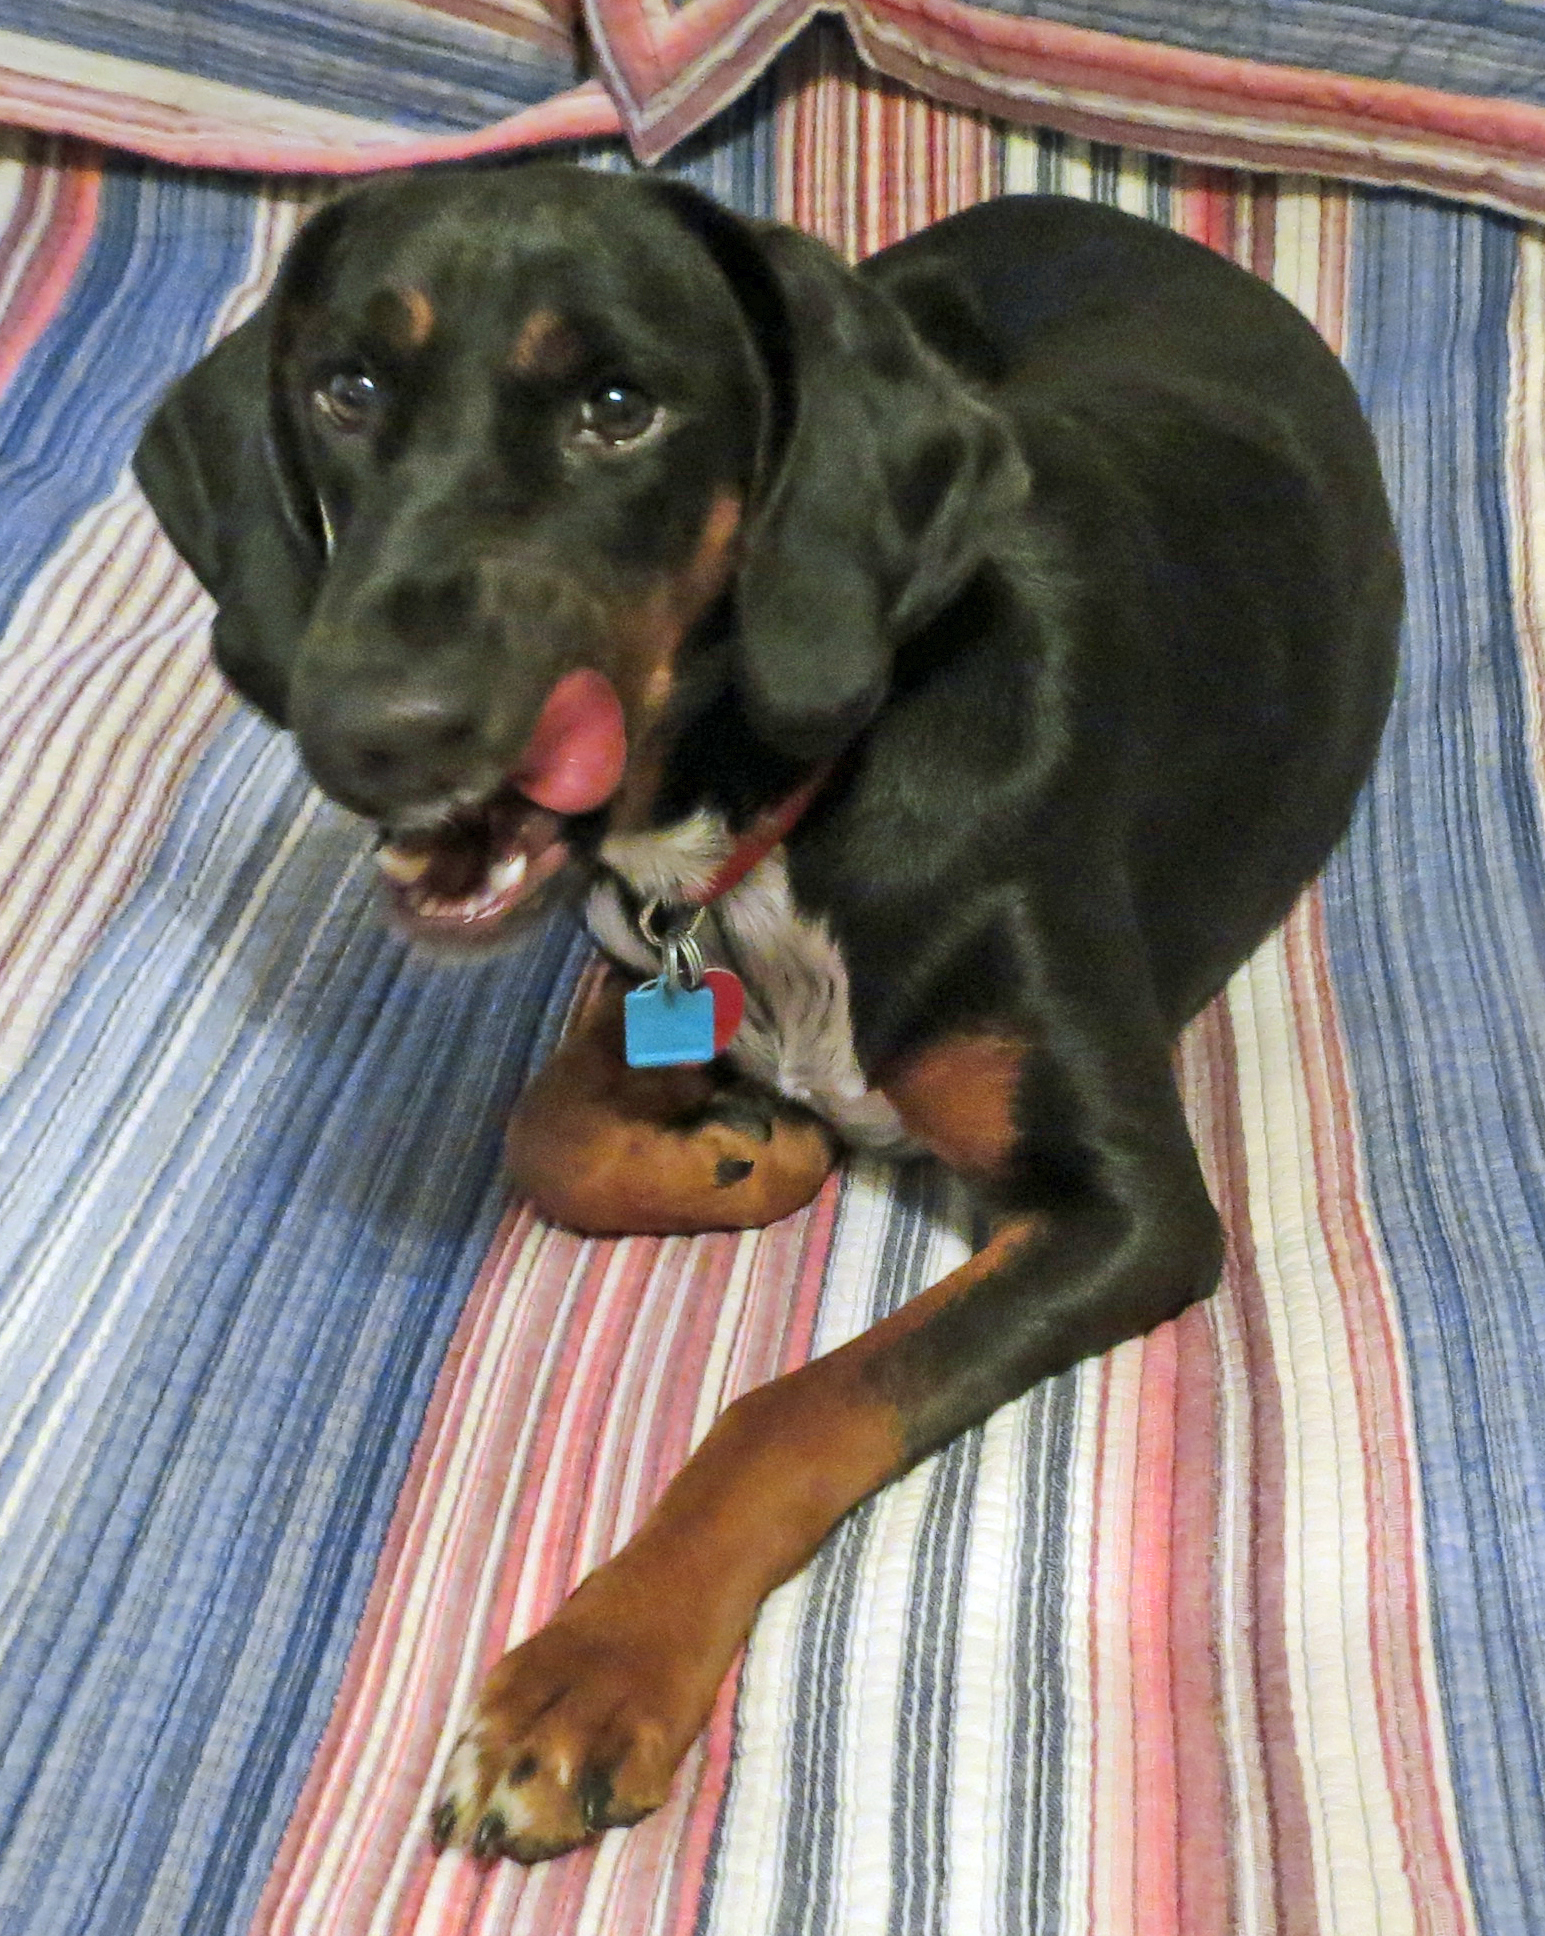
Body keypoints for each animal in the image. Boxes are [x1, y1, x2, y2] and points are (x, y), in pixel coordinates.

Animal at [139, 166, 1409, 1858]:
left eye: (620, 408)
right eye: (344, 390)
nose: (369, 733)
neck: (774, 812)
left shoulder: (1131, 1209)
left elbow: (795, 1404)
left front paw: (592, 1669)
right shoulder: (635, 953)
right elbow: (540, 1129)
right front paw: (744, 1153)